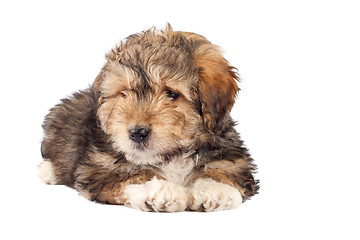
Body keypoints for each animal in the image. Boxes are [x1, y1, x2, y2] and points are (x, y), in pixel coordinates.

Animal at [38, 24, 258, 212]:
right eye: (123, 93)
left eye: (171, 93)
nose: (137, 133)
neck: (172, 156)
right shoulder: (100, 168)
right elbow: (133, 175)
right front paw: (159, 190)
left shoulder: (234, 158)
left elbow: (225, 168)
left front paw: (214, 189)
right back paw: (48, 171)